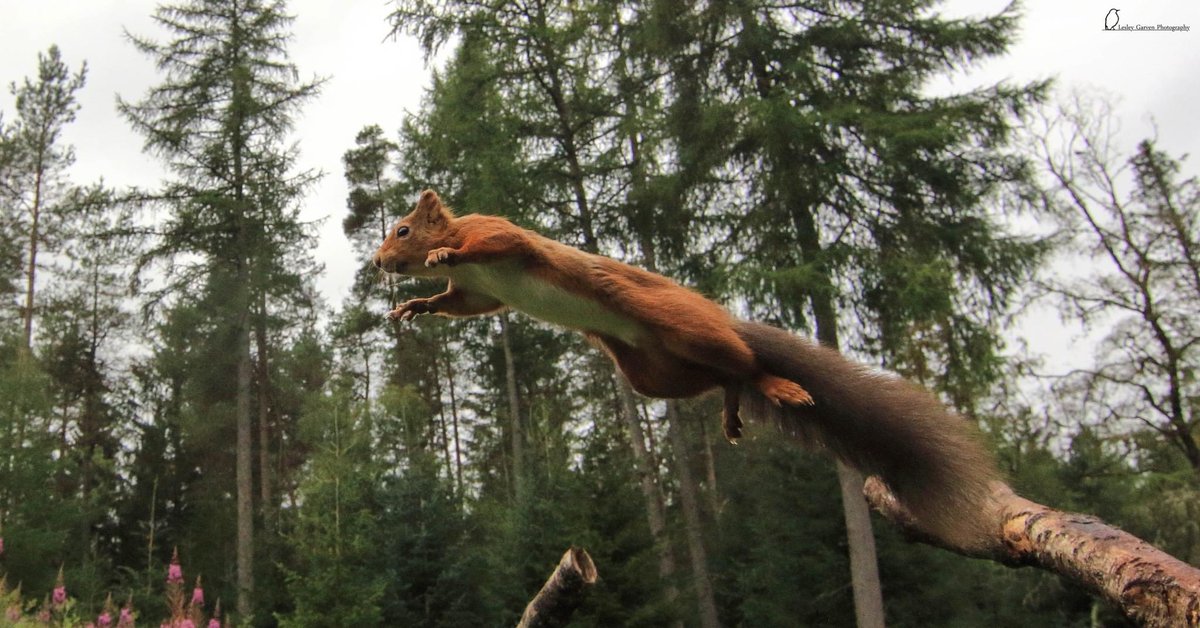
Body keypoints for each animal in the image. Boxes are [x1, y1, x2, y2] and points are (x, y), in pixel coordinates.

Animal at [369, 189, 811, 439]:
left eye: (403, 231)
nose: (377, 261)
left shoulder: (494, 233)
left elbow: (497, 242)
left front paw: (444, 252)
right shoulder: (476, 291)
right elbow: (458, 304)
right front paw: (416, 306)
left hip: (687, 325)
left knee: (746, 366)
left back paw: (779, 387)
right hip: (653, 373)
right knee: (723, 377)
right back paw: (731, 410)